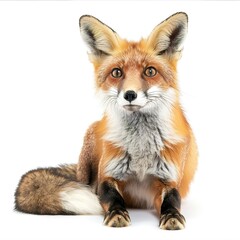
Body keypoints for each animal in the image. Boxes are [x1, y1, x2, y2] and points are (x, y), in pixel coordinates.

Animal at [15, 12, 199, 230]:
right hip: (87, 150)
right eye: (117, 72)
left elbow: (172, 199)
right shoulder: (107, 176)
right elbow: (111, 197)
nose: (130, 94)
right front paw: (116, 213)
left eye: (150, 71)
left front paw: (172, 216)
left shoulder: (168, 179)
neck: (140, 151)